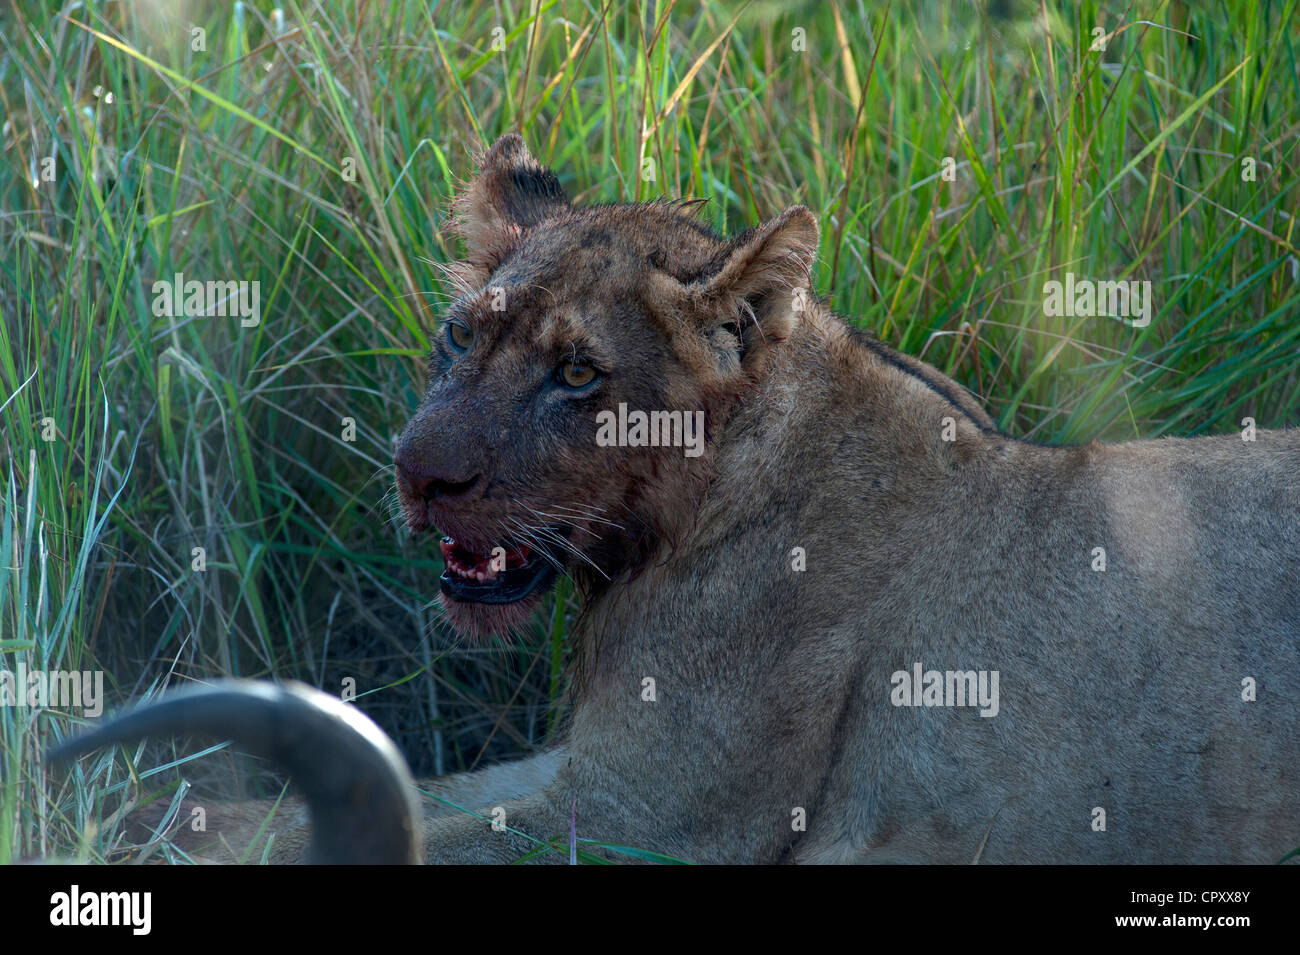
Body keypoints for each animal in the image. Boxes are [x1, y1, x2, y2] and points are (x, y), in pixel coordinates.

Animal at [55, 136, 1300, 867]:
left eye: (577, 373)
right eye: (459, 336)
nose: (417, 471)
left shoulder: (653, 823)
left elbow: (419, 831)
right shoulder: (588, 762)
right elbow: (423, 786)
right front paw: (133, 797)